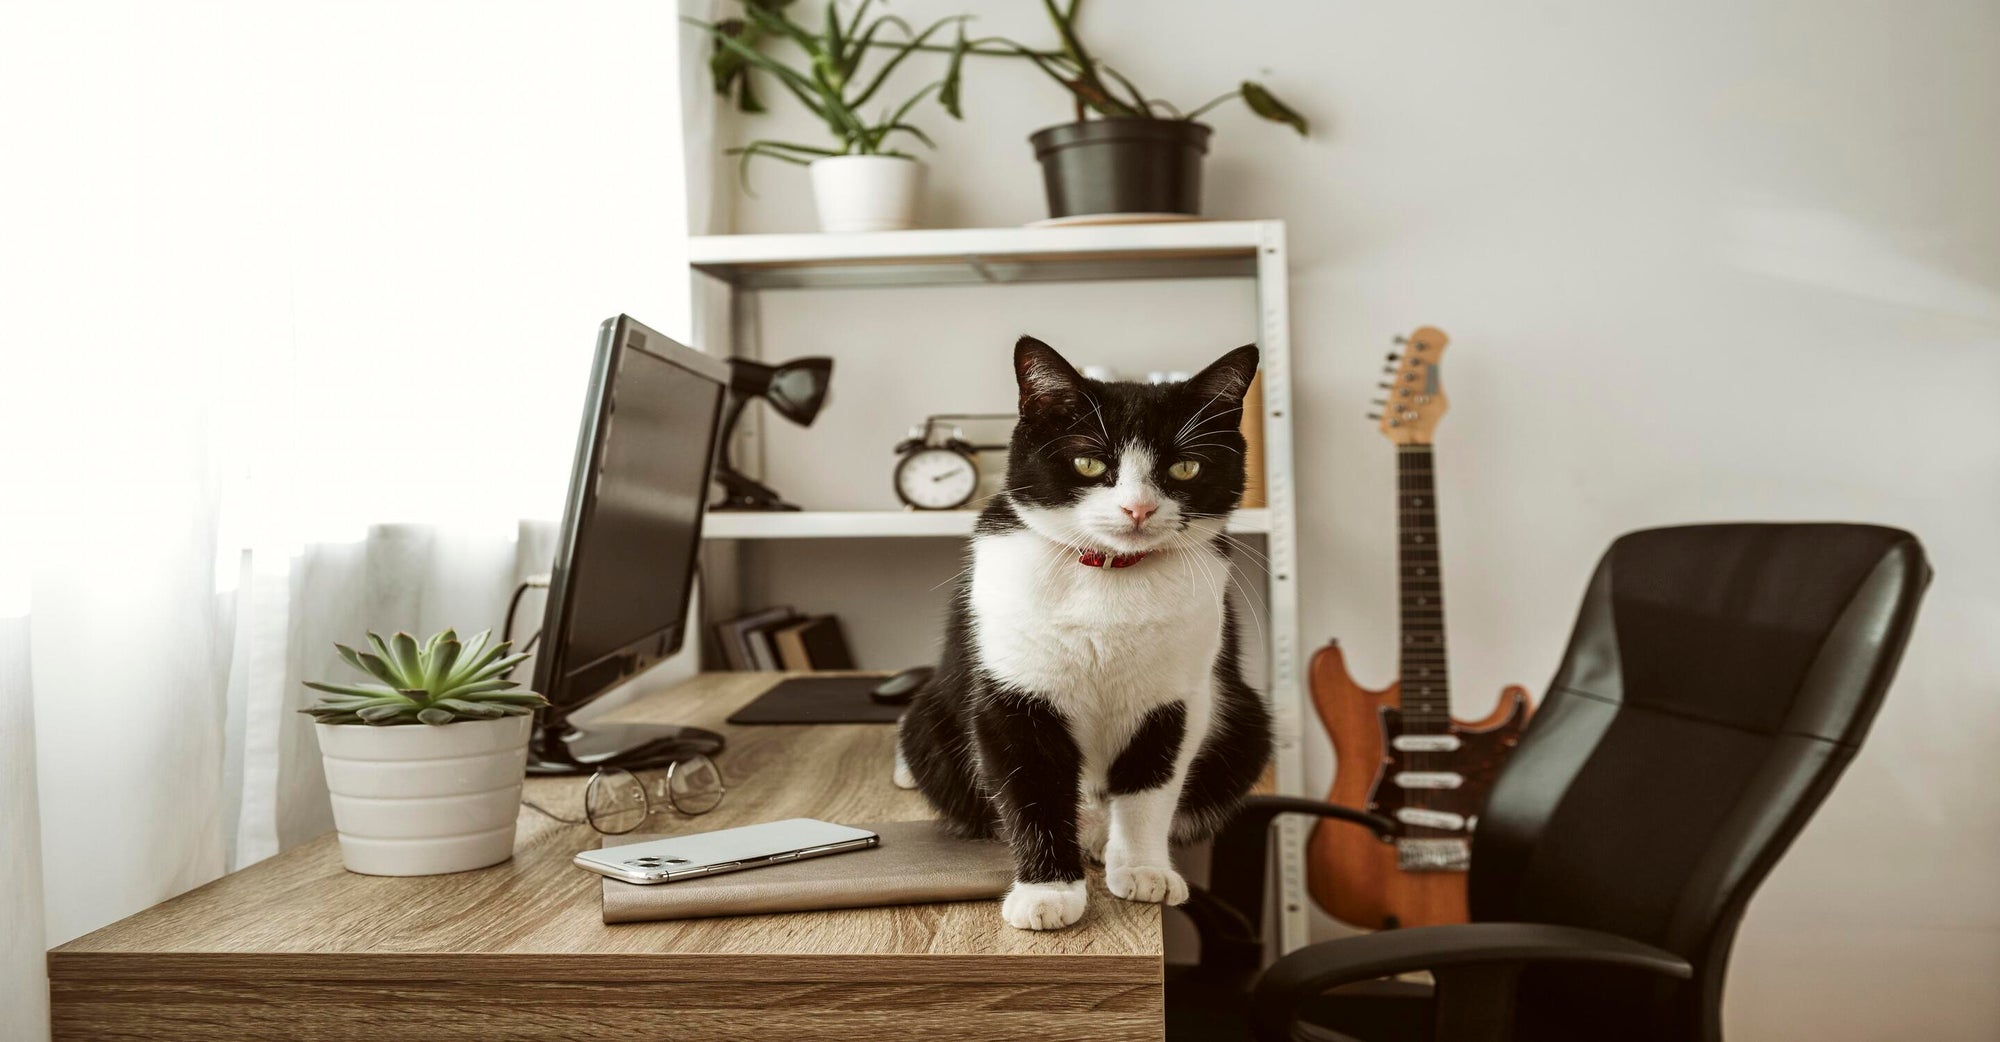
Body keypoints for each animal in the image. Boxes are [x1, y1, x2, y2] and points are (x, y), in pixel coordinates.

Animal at [900, 338, 1272, 932]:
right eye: (1089, 462)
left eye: (1185, 466)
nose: (1137, 508)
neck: (1110, 575)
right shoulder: (1012, 693)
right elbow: (1032, 788)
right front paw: (1048, 891)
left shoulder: (1176, 698)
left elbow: (1150, 787)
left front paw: (1143, 868)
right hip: (923, 723)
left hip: (1249, 727)